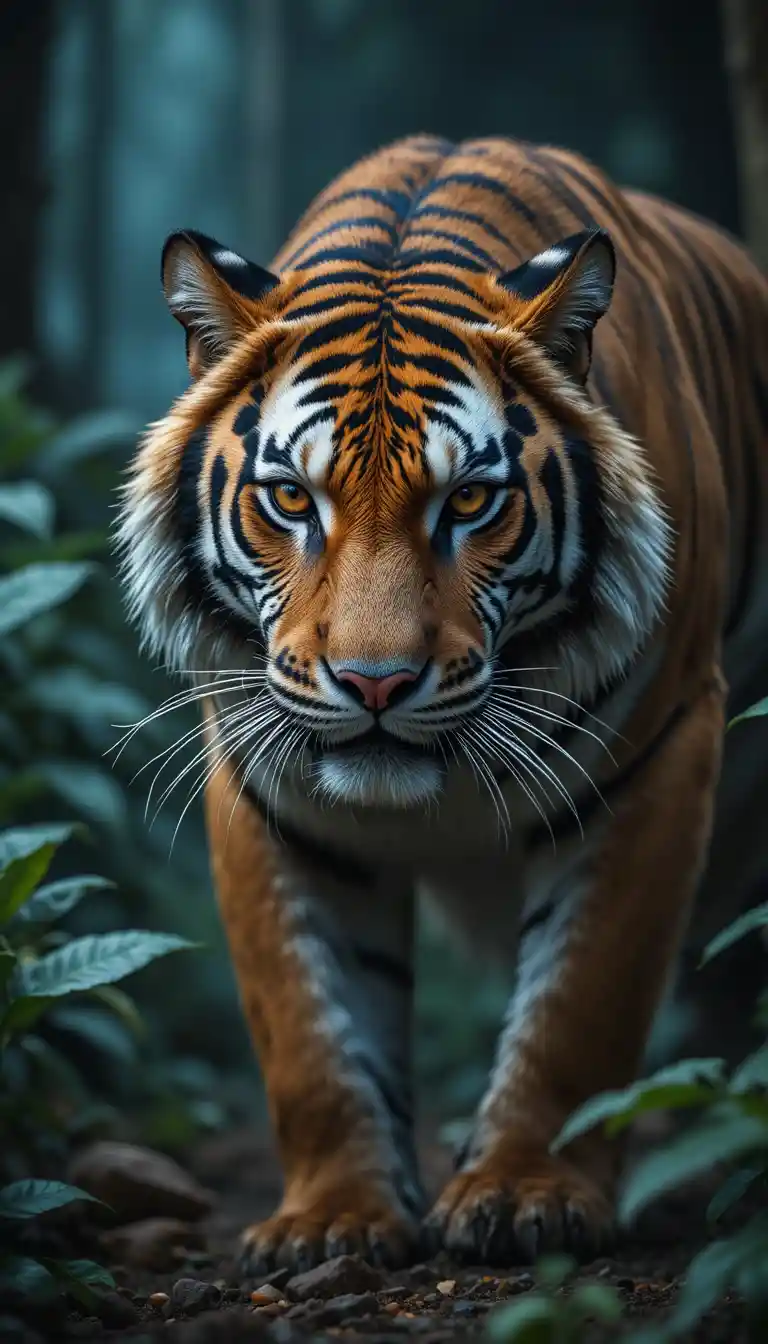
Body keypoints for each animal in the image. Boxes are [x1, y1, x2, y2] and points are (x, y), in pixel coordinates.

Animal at [117, 134, 768, 1271]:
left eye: (469, 501)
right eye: (291, 499)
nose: (375, 682)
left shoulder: (664, 748)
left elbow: (582, 1002)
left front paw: (523, 1194)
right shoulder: (264, 787)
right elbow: (311, 1030)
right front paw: (332, 1219)